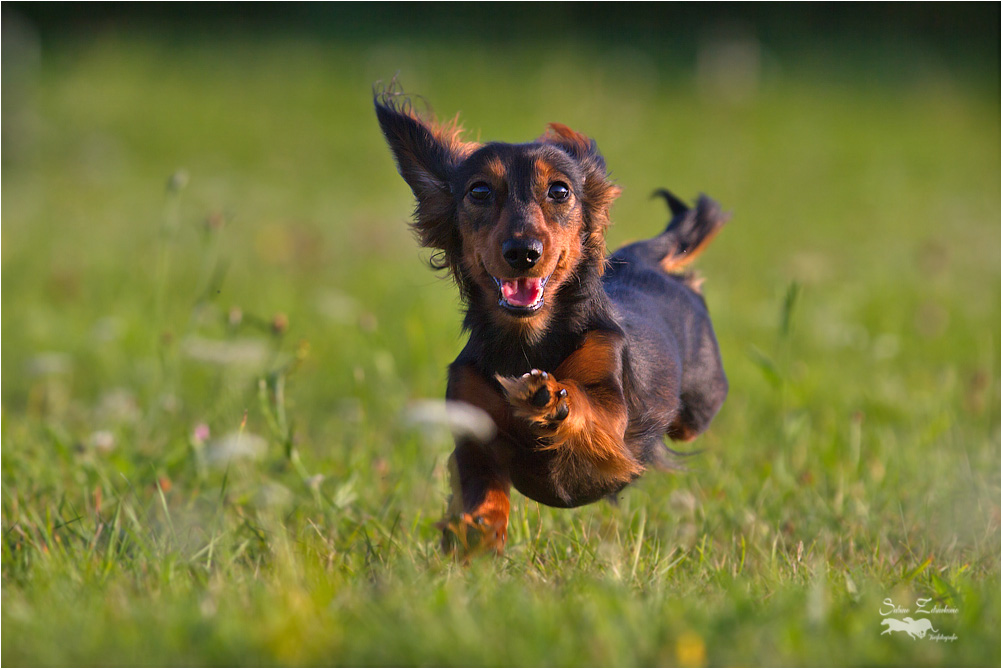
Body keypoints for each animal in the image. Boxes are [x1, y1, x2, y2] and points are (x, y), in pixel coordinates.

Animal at [377, 86, 730, 553]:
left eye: (560, 190)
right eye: (479, 191)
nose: (522, 252)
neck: (526, 340)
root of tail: (644, 259)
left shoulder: (611, 420)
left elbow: (583, 403)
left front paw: (545, 397)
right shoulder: (473, 431)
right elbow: (481, 486)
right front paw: (478, 529)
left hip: (698, 407)